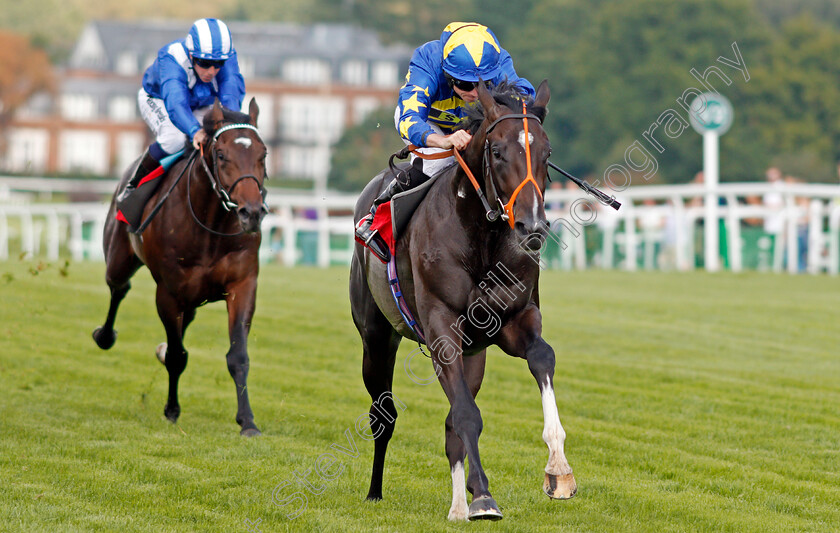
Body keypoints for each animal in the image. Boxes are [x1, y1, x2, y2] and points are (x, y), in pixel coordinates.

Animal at [93, 97, 268, 434]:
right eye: (221, 154)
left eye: (262, 154)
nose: (251, 213)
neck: (209, 224)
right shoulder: (169, 293)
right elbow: (177, 356)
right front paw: (172, 409)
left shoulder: (242, 284)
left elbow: (238, 356)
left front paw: (248, 421)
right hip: (119, 257)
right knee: (118, 287)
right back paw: (104, 336)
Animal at [350, 80, 576, 520]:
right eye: (497, 151)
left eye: (547, 153)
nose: (533, 225)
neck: (481, 237)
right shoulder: (442, 329)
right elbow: (468, 414)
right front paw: (484, 497)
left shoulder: (513, 321)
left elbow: (542, 358)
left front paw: (558, 469)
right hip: (376, 336)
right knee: (384, 414)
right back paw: (375, 491)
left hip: (475, 354)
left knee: (451, 420)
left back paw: (458, 505)